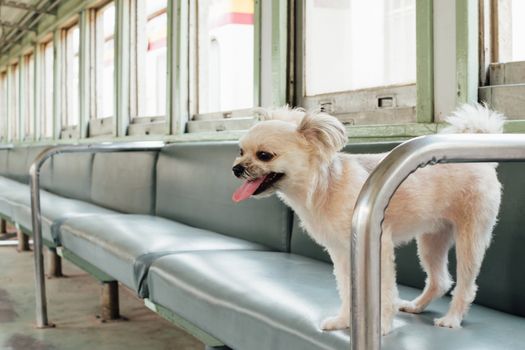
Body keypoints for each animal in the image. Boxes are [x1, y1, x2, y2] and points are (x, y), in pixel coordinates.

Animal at [231, 104, 502, 334]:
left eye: (264, 155)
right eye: (241, 151)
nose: (236, 168)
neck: (325, 187)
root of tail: (481, 158)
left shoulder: (378, 246)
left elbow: (384, 291)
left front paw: (382, 326)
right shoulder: (342, 252)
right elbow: (346, 288)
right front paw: (344, 320)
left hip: (471, 237)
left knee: (466, 285)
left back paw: (452, 319)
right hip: (431, 240)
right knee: (440, 281)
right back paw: (416, 306)